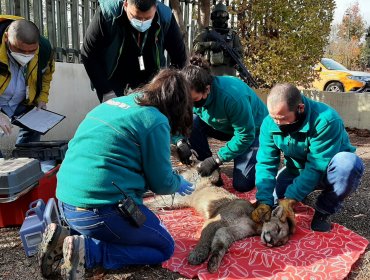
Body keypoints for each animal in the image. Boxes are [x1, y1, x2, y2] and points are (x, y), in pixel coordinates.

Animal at [145, 165, 292, 272]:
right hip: (186, 190)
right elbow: (204, 239)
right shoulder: (216, 221)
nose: (271, 243)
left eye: (280, 244)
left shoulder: (229, 230)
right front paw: (198, 254)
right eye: (278, 229)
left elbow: (220, 243)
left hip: (176, 201)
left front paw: (214, 261)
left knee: (156, 198)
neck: (256, 223)